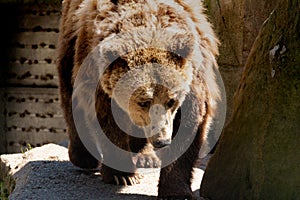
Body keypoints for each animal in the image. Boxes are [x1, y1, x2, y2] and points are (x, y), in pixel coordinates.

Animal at [56, 0, 220, 198]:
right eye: (144, 102)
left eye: (171, 101)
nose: (162, 141)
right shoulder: (99, 76)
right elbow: (106, 121)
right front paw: (122, 174)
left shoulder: (193, 80)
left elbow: (189, 125)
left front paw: (175, 190)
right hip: (71, 37)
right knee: (69, 91)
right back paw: (83, 157)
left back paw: (146, 156)